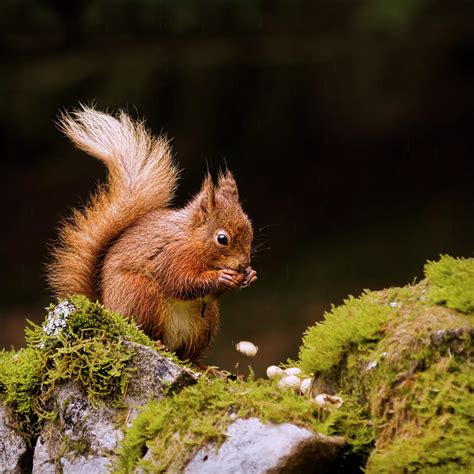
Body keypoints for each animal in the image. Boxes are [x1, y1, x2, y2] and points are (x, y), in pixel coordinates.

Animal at [47, 106, 256, 360]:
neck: (192, 239)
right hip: (141, 295)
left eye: (251, 231)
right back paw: (158, 344)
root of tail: (107, 308)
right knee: (148, 332)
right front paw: (221, 277)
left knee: (187, 355)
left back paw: (202, 365)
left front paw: (250, 275)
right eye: (222, 239)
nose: (243, 265)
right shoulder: (171, 255)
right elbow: (181, 282)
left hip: (206, 322)